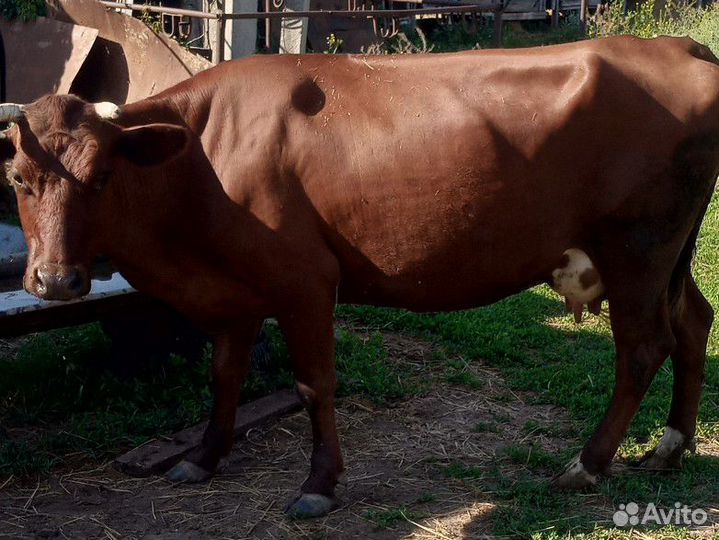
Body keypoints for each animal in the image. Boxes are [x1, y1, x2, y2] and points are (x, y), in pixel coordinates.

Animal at [1, 35, 718, 518]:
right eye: (17, 178)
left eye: (103, 176)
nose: (55, 281)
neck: (204, 159)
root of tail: (680, 48)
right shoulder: (232, 291)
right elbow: (223, 377)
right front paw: (202, 458)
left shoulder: (306, 282)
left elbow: (314, 385)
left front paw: (318, 485)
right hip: (667, 256)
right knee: (693, 323)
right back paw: (669, 448)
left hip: (637, 248)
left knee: (642, 349)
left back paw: (587, 464)